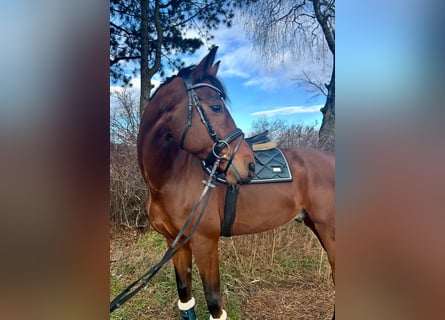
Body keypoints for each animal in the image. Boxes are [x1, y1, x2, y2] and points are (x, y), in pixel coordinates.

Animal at [137, 47, 334, 320]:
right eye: (216, 106)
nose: (249, 165)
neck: (166, 182)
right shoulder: (174, 243)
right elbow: (185, 297)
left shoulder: (205, 243)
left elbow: (214, 303)